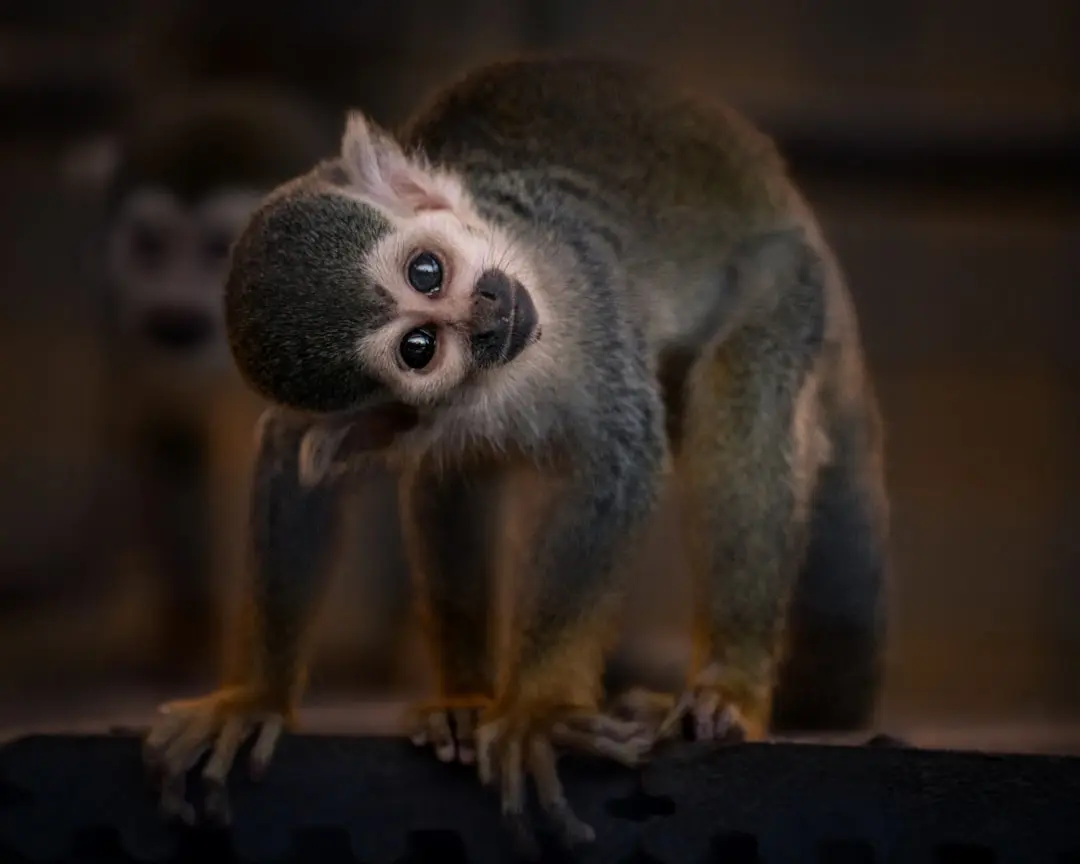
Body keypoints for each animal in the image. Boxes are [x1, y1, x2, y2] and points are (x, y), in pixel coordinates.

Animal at [141, 56, 890, 855]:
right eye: (419, 346)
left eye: (428, 272)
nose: (489, 313)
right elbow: (303, 463)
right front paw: (256, 698)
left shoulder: (579, 279)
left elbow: (614, 462)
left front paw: (537, 711)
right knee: (451, 468)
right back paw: (466, 700)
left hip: (790, 278)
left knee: (743, 382)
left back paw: (728, 687)